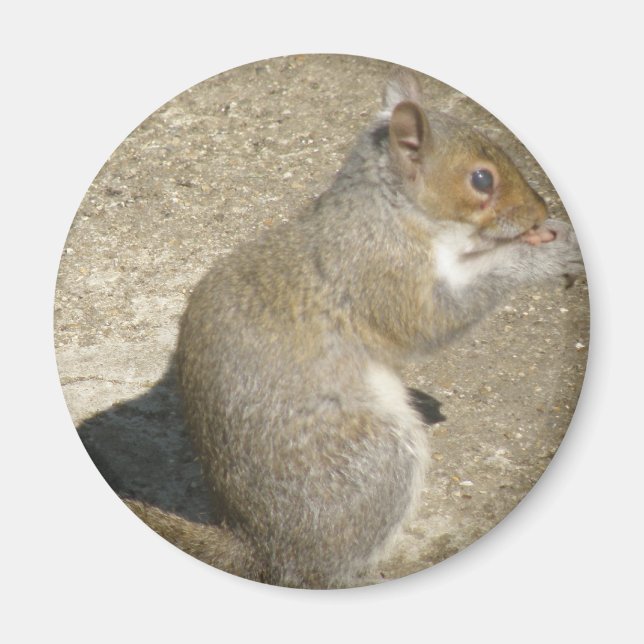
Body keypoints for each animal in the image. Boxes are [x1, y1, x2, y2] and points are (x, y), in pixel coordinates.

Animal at [125, 71, 583, 589]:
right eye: (481, 178)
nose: (538, 211)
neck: (388, 212)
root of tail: (258, 544)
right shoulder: (382, 274)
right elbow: (434, 320)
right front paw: (540, 257)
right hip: (374, 457)